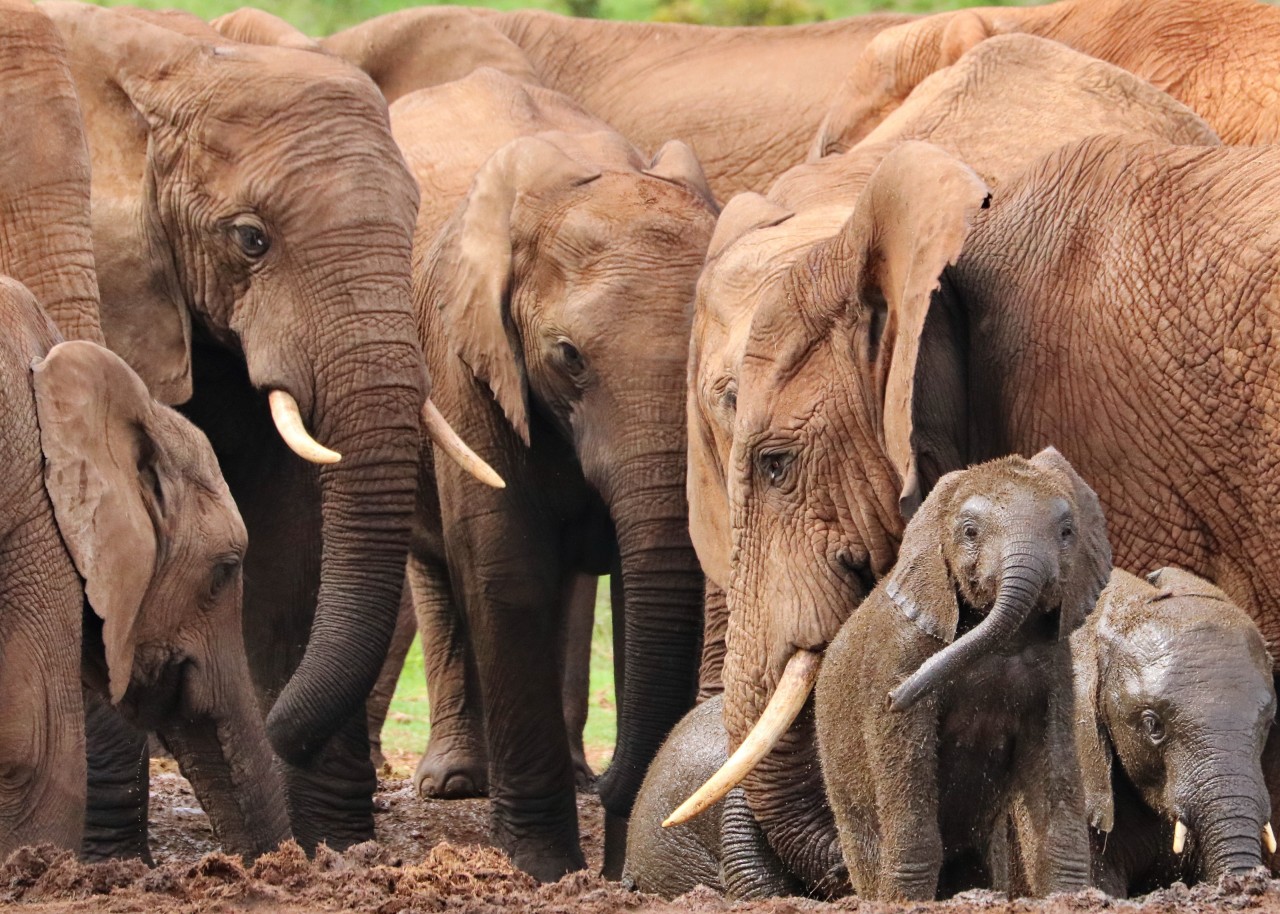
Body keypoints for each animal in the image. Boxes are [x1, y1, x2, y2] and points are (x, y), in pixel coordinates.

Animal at [40, 2, 495, 852]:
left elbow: (291, 537)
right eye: (251, 238)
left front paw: (327, 849)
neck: (176, 59)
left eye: (413, 225)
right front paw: (108, 859)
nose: (273, 723)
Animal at [386, 68, 717, 880]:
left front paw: (622, 872)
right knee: (437, 569)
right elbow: (505, 570)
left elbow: (640, 587)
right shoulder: (463, 357)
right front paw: (542, 868)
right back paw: (455, 783)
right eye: (568, 356)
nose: (617, 782)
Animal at [814, 449, 1110, 900]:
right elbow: (910, 787)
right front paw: (906, 902)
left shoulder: (1056, 674)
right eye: (969, 532)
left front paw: (1068, 897)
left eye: (1067, 532)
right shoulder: (898, 655)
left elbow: (1055, 785)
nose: (895, 697)